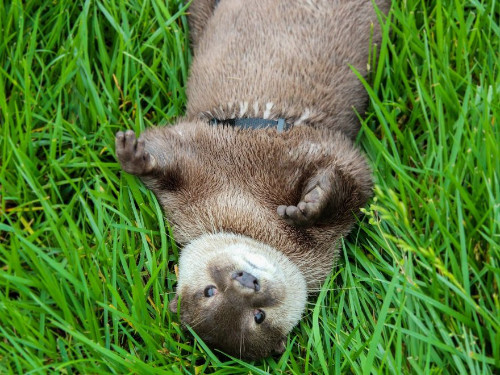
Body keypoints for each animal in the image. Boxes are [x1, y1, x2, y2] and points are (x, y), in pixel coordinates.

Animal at [115, 0, 388, 362]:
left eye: (209, 290)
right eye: (257, 317)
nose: (245, 281)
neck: (245, 207)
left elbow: (354, 184)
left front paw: (312, 204)